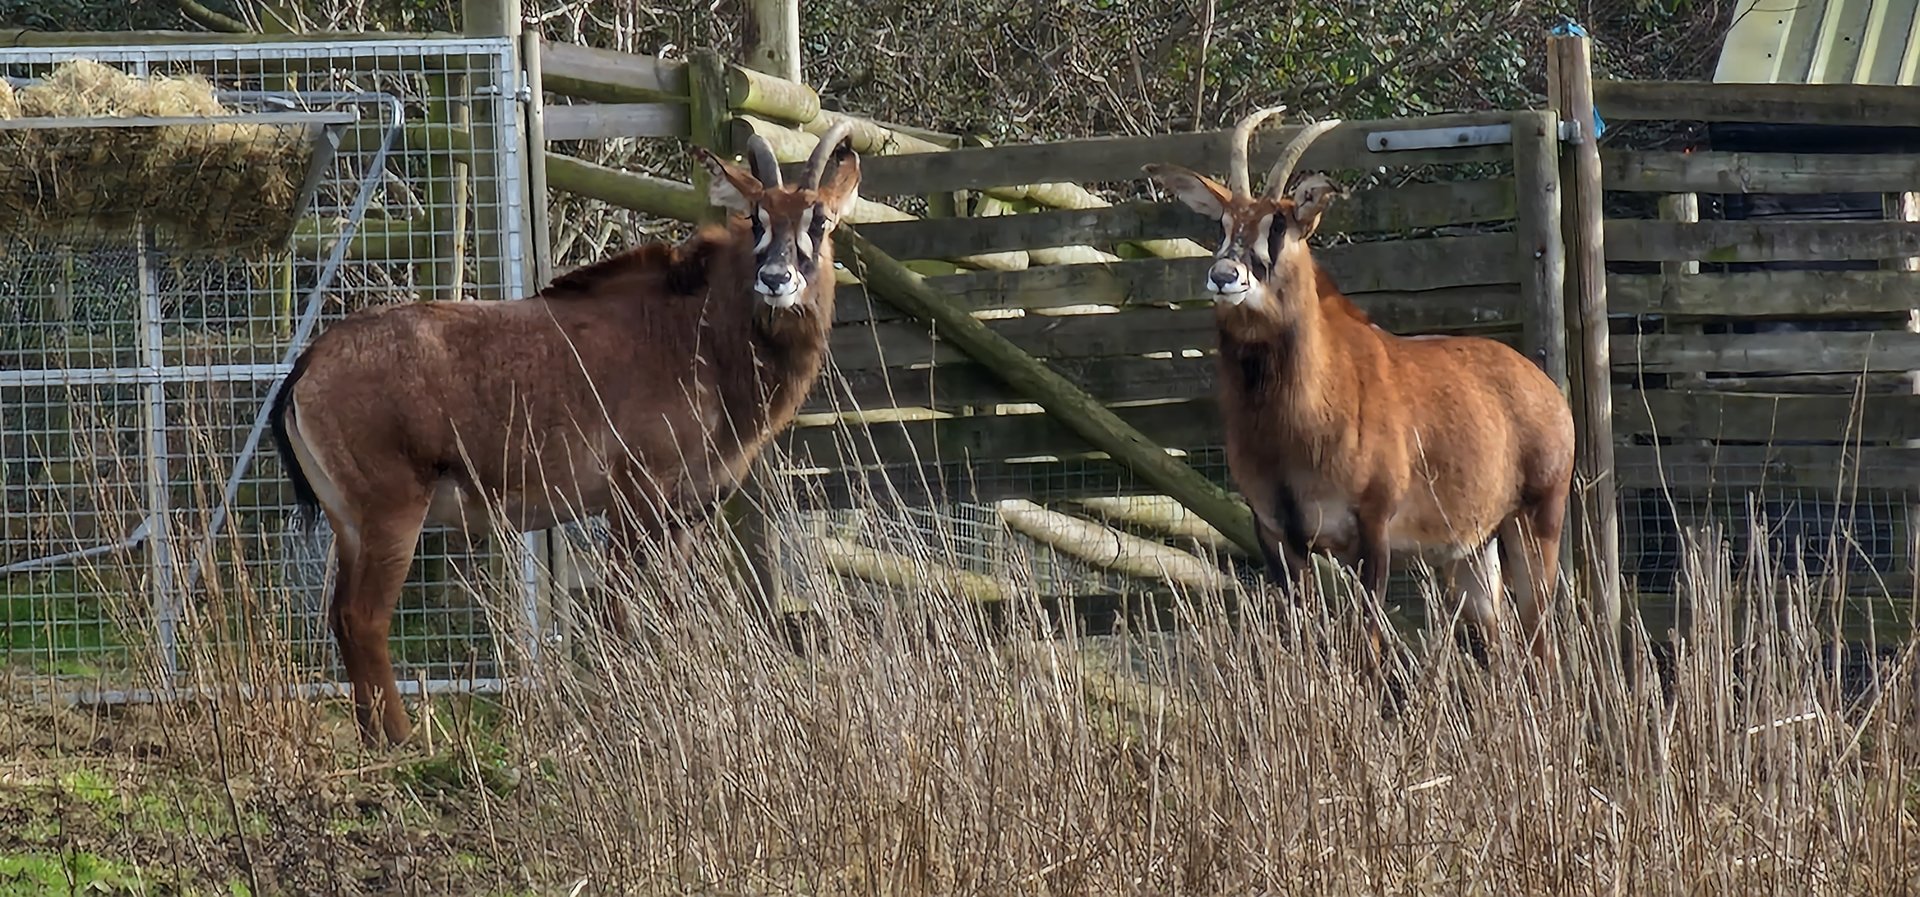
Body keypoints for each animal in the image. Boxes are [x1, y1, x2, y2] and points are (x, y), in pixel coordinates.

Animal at [269, 124, 861, 746]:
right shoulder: (634, 498)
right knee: (364, 618)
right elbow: (617, 610)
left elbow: (673, 610)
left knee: (340, 616)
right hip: (392, 515)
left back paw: (373, 737)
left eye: (820, 221)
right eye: (756, 218)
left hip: (350, 523)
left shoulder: (685, 512)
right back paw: (405, 738)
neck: (696, 329)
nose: (775, 280)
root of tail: (310, 363)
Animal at [1142, 108, 1577, 678]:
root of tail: (1546, 389)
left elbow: (1367, 647)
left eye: (1280, 223)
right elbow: (1305, 642)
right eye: (1222, 222)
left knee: (1542, 646)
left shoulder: (1373, 531)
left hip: (1535, 524)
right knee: (1500, 647)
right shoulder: (1278, 537)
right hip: (1471, 551)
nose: (1224, 276)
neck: (1292, 420)